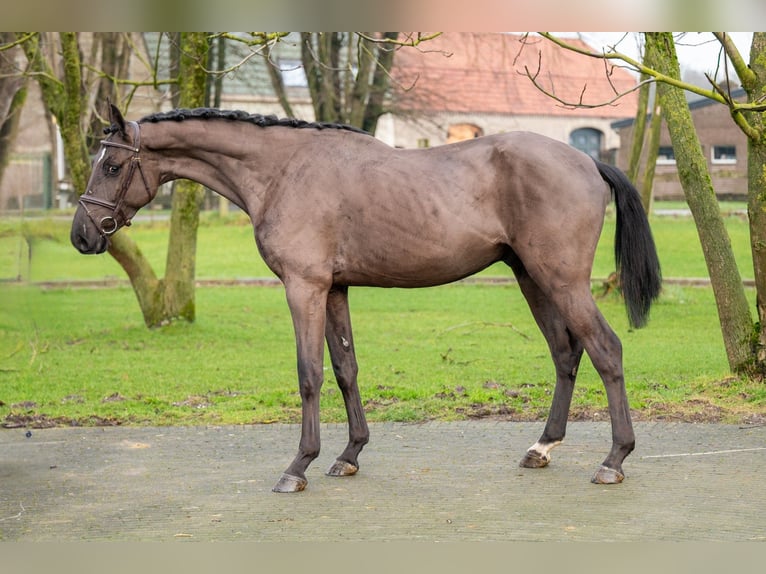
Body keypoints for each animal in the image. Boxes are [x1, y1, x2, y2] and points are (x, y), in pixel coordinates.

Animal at [70, 106, 660, 492]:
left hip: (561, 280)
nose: (82, 236)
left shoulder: (303, 286)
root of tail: (587, 162)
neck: (283, 170)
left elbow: (309, 373)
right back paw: (542, 447)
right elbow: (345, 367)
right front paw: (348, 455)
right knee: (566, 353)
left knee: (606, 350)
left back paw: (614, 460)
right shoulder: (334, 289)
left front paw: (299, 466)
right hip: (532, 278)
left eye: (113, 166)